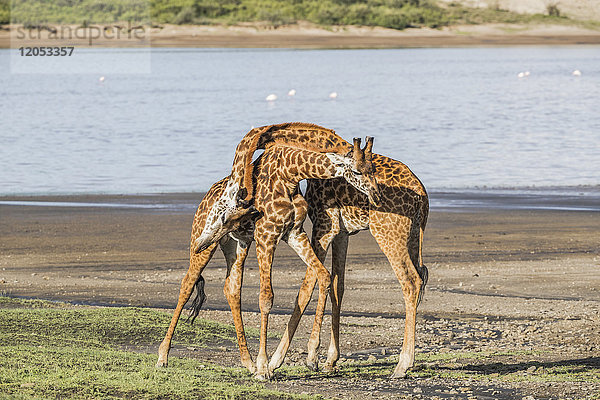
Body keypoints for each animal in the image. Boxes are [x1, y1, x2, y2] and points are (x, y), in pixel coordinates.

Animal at [156, 139, 380, 380]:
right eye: (357, 170)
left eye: (373, 168)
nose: (376, 195)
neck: (291, 175)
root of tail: (205, 198)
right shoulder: (266, 235)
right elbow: (266, 298)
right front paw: (264, 367)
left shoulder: (294, 233)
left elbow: (324, 276)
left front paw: (311, 358)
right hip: (202, 243)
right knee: (187, 284)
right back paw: (163, 357)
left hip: (236, 245)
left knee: (232, 289)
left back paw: (247, 362)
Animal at [270, 152, 428, 378]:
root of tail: (422, 195)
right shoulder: (342, 233)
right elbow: (338, 286)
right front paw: (330, 360)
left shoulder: (324, 226)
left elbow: (306, 288)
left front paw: (282, 360)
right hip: (414, 235)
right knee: (420, 278)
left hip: (388, 235)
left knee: (411, 282)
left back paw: (402, 365)